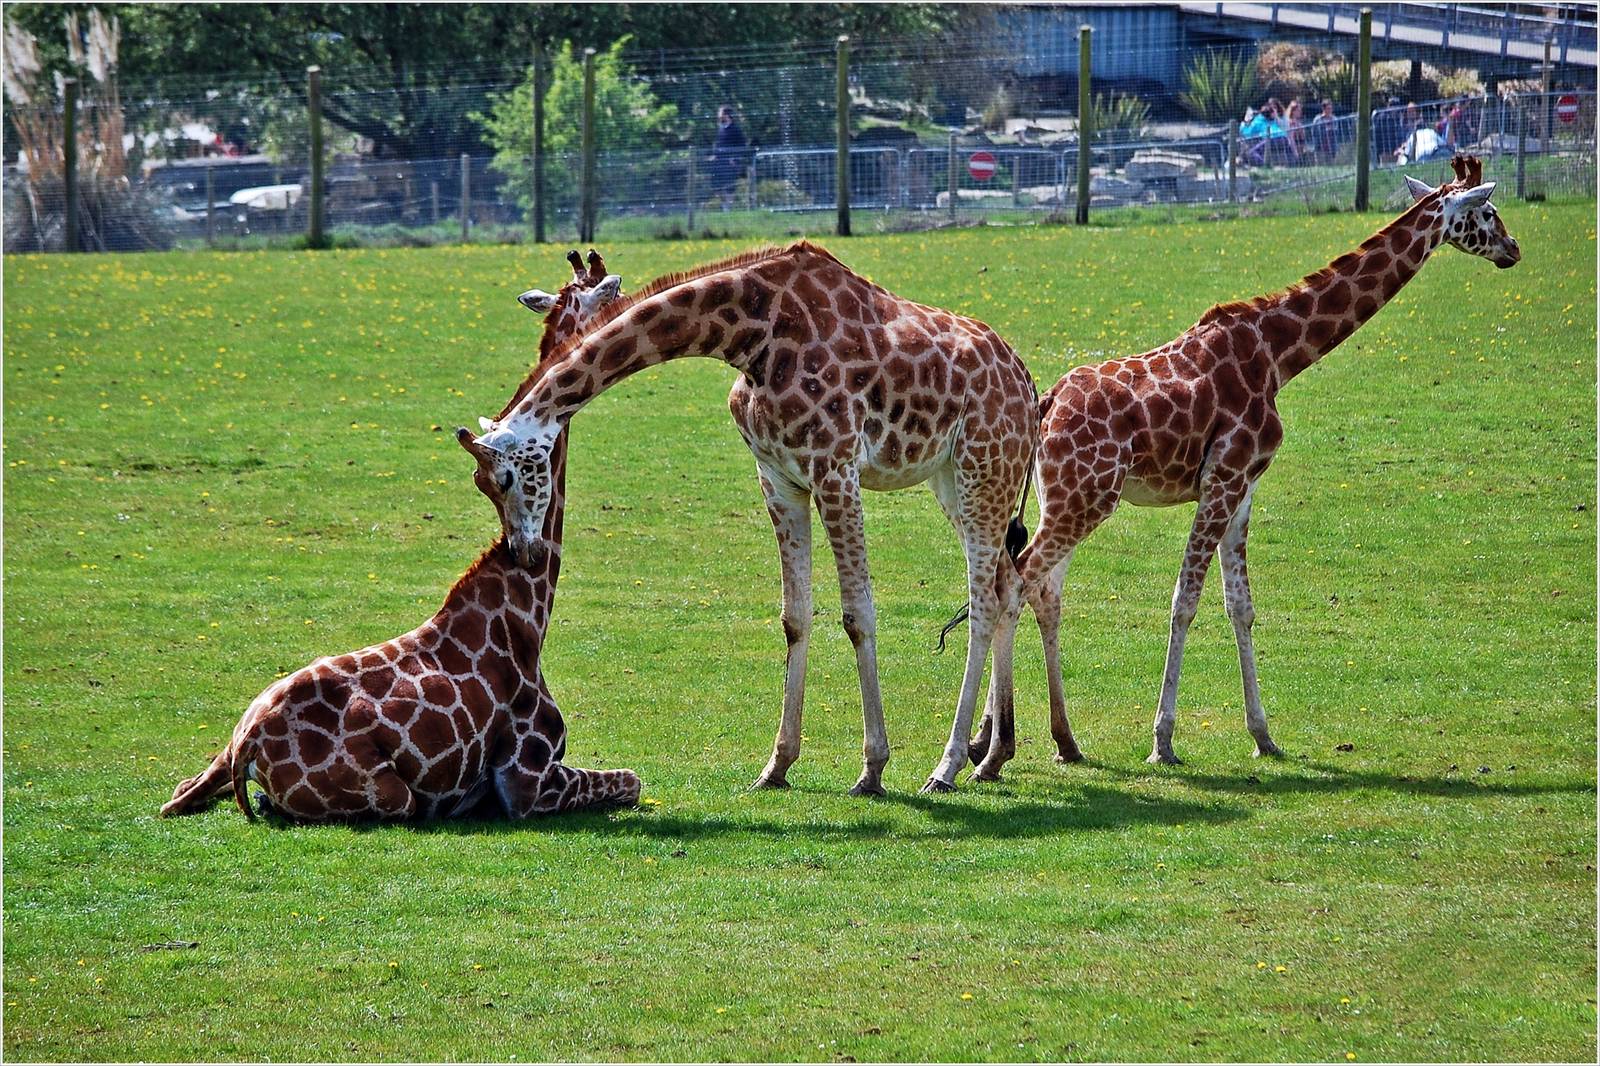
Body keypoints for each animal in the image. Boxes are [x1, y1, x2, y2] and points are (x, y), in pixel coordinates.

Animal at [160, 250, 640, 821]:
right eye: (606, 296)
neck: (525, 611)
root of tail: (247, 746)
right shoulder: (528, 779)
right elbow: (633, 780)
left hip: (216, 758)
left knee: (179, 793)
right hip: (396, 796)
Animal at [466, 241, 1039, 796]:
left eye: (505, 479)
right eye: (481, 485)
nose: (523, 552)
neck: (751, 335)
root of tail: (1027, 384)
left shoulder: (836, 469)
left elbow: (858, 615)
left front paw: (872, 769)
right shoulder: (779, 477)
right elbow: (795, 615)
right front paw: (777, 765)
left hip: (985, 466)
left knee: (984, 601)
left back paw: (947, 766)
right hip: (954, 479)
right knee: (1009, 583)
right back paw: (991, 755)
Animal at [966, 155, 1520, 777]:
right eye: (1488, 212)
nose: (1513, 249)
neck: (1280, 356)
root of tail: (1046, 405)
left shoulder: (1244, 487)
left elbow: (1241, 607)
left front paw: (1264, 735)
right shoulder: (1223, 478)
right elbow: (1184, 602)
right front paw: (1162, 740)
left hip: (1059, 497)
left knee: (1042, 591)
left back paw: (1057, 740)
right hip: (1086, 498)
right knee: (1016, 580)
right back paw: (994, 751)